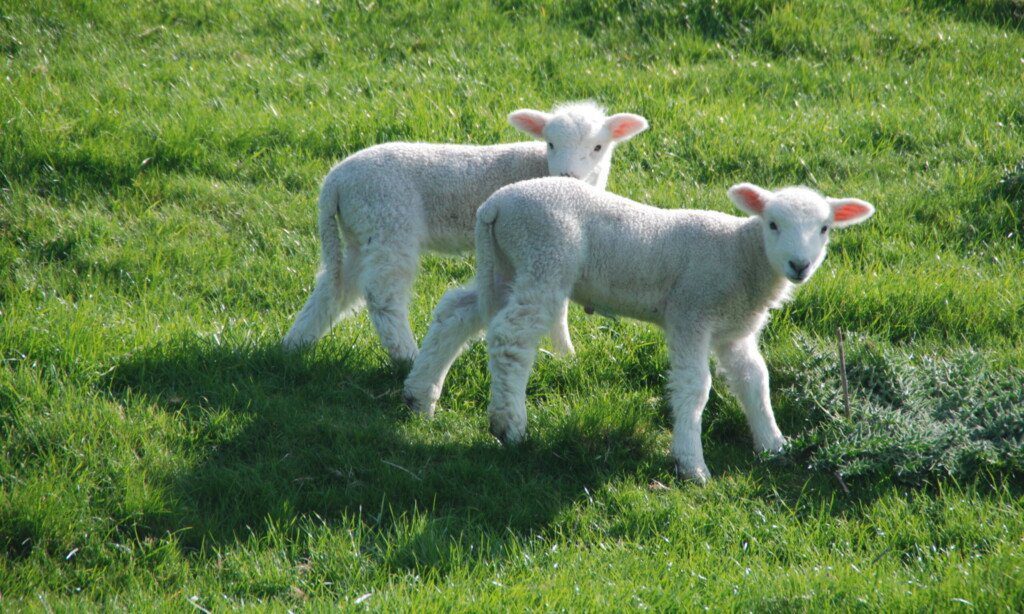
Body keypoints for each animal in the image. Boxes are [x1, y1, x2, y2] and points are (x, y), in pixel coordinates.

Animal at [280, 101, 647, 362]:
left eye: (598, 147)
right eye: (550, 143)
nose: (567, 176)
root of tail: (334, 182)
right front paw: (567, 357)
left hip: (360, 231)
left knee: (336, 287)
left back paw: (294, 345)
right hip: (388, 220)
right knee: (382, 294)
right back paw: (405, 355)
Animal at [399, 177, 872, 485]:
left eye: (825, 228)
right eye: (773, 224)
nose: (799, 265)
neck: (740, 256)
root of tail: (494, 206)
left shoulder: (732, 330)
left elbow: (755, 380)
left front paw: (773, 445)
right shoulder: (690, 314)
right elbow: (694, 387)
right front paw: (691, 464)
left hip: (505, 264)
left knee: (455, 314)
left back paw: (420, 395)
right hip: (544, 257)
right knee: (510, 338)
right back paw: (509, 425)